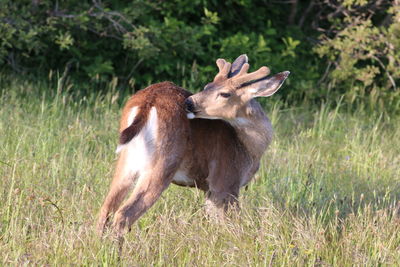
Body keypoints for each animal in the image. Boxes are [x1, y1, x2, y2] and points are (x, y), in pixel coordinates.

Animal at [97, 54, 290, 237]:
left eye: (224, 93)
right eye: (207, 86)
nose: (189, 102)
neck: (249, 147)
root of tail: (148, 101)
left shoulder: (211, 189)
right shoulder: (225, 181)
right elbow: (229, 224)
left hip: (127, 160)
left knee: (105, 209)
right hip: (164, 161)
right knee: (124, 214)